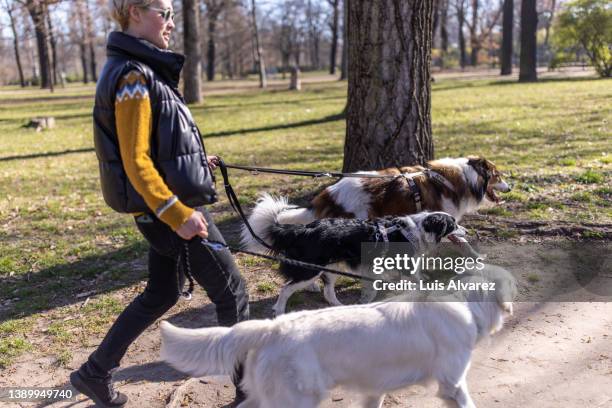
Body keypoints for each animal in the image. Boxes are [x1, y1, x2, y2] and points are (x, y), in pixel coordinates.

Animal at [239, 194, 464, 316]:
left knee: (328, 292)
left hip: (330, 268)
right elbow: (418, 283)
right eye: (453, 224)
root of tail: (303, 230)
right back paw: (279, 310)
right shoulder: (404, 267)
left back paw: (338, 307)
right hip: (311, 270)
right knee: (286, 288)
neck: (418, 229)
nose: (467, 230)